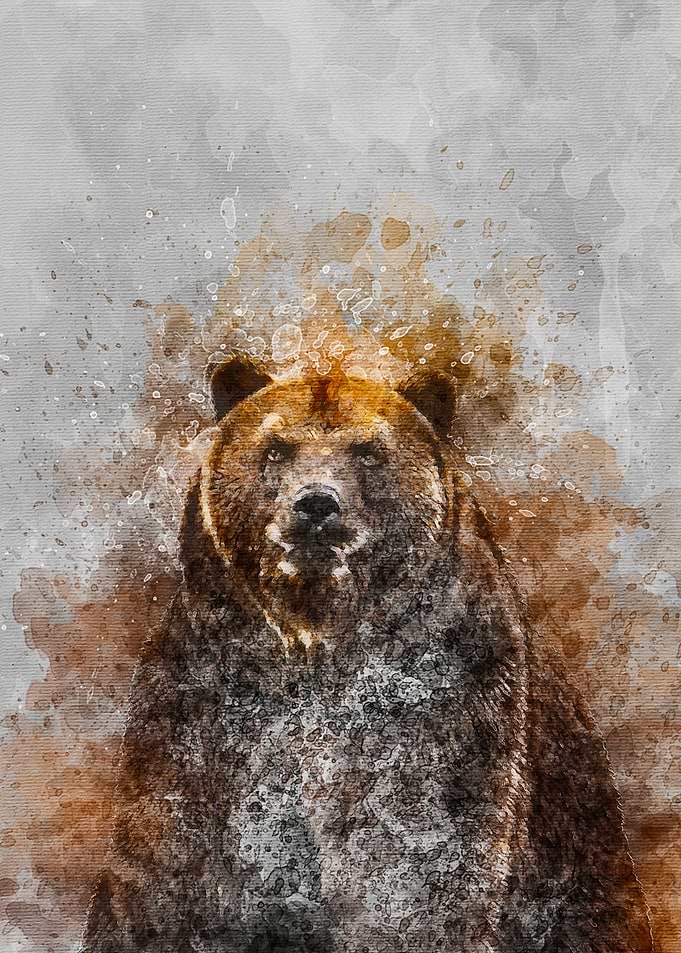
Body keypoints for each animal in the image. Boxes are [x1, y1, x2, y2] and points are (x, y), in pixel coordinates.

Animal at [81, 356, 652, 953]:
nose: (315, 504)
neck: (314, 635)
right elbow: (169, 869)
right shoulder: (204, 707)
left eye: (369, 452)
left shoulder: (445, 708)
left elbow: (418, 872)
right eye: (276, 448)